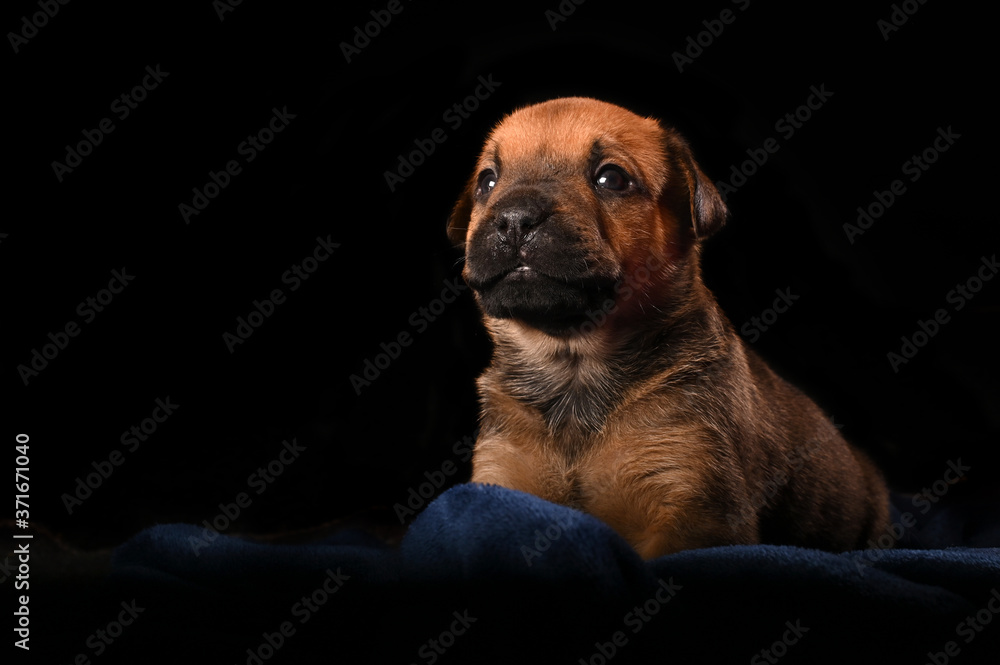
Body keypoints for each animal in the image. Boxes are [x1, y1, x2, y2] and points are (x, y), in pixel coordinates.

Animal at [448, 96, 892, 556]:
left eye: (611, 178)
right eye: (487, 182)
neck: (574, 367)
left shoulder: (694, 500)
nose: (514, 219)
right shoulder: (499, 477)